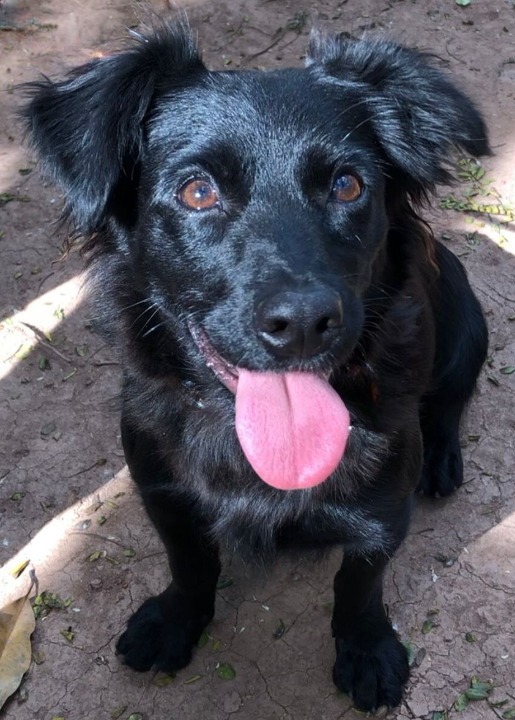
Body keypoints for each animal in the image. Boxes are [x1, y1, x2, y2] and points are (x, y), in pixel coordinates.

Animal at [25, 19, 492, 712]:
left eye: (348, 185)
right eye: (198, 192)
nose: (302, 323)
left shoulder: (384, 510)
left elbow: (360, 583)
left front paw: (367, 651)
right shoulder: (162, 489)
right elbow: (190, 563)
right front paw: (175, 621)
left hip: (467, 326)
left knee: (450, 405)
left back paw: (441, 458)